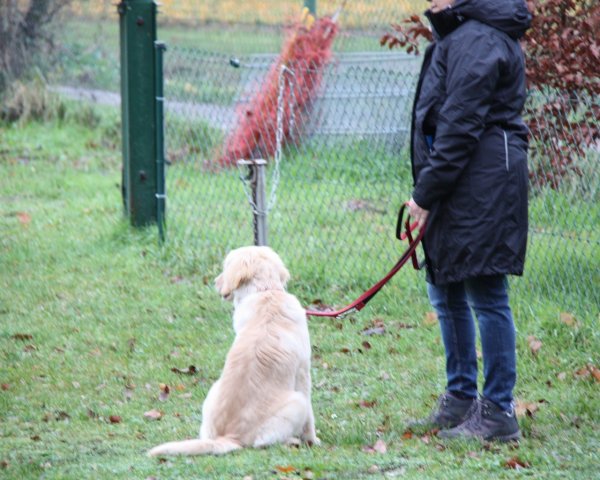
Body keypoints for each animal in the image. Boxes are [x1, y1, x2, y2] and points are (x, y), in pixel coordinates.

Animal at [148, 246, 318, 456]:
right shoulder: (303, 372)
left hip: (213, 392)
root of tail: (228, 437)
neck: (266, 292)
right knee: (263, 443)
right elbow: (310, 417)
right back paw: (291, 441)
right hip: (296, 402)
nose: (215, 282)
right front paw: (312, 440)